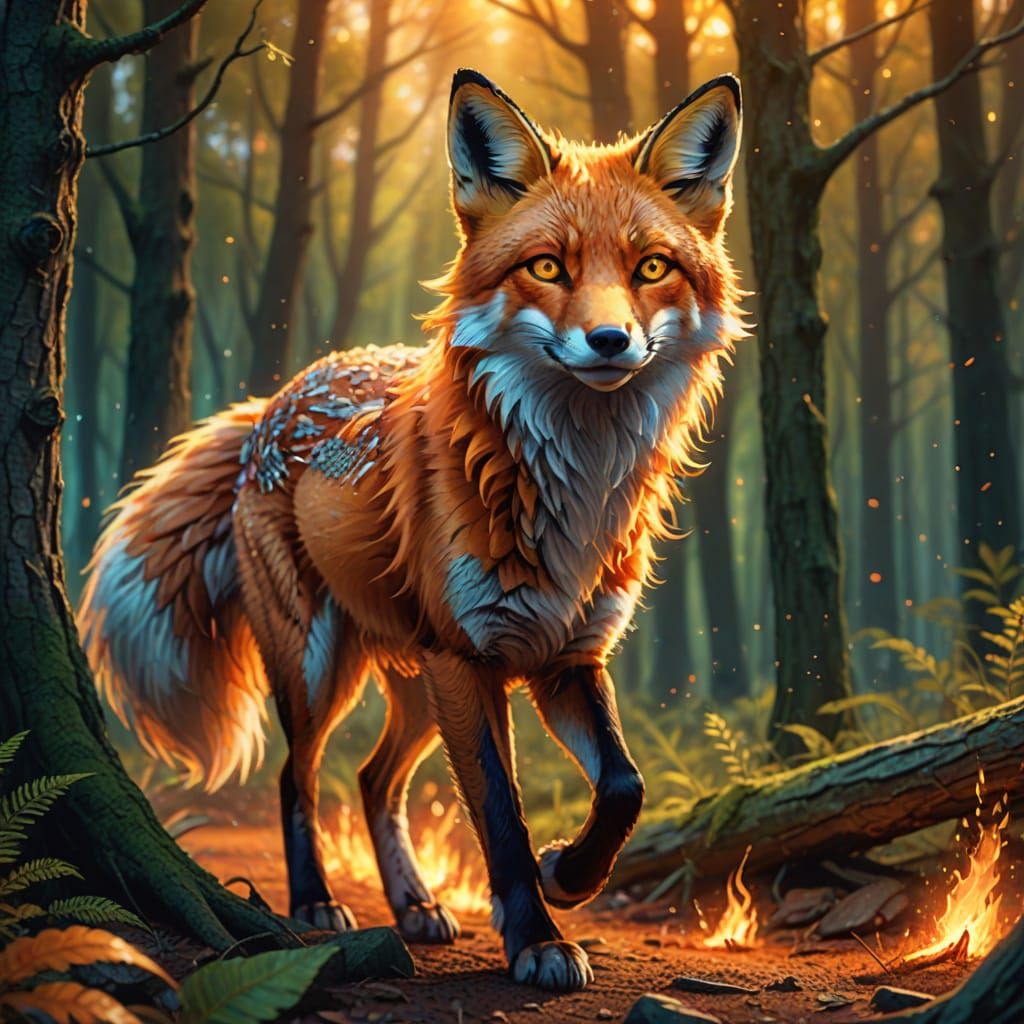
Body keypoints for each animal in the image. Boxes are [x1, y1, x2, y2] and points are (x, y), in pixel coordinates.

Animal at [79, 69, 745, 991]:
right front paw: (536, 936)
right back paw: (315, 903)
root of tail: (275, 398)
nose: (611, 340)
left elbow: (624, 785)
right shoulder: (470, 657)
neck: (568, 495)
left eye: (652, 268)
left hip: (419, 684)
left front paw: (571, 876)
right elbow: (500, 813)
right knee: (297, 775)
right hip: (322, 665)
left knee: (371, 779)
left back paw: (415, 904)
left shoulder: (566, 655)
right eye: (548, 267)